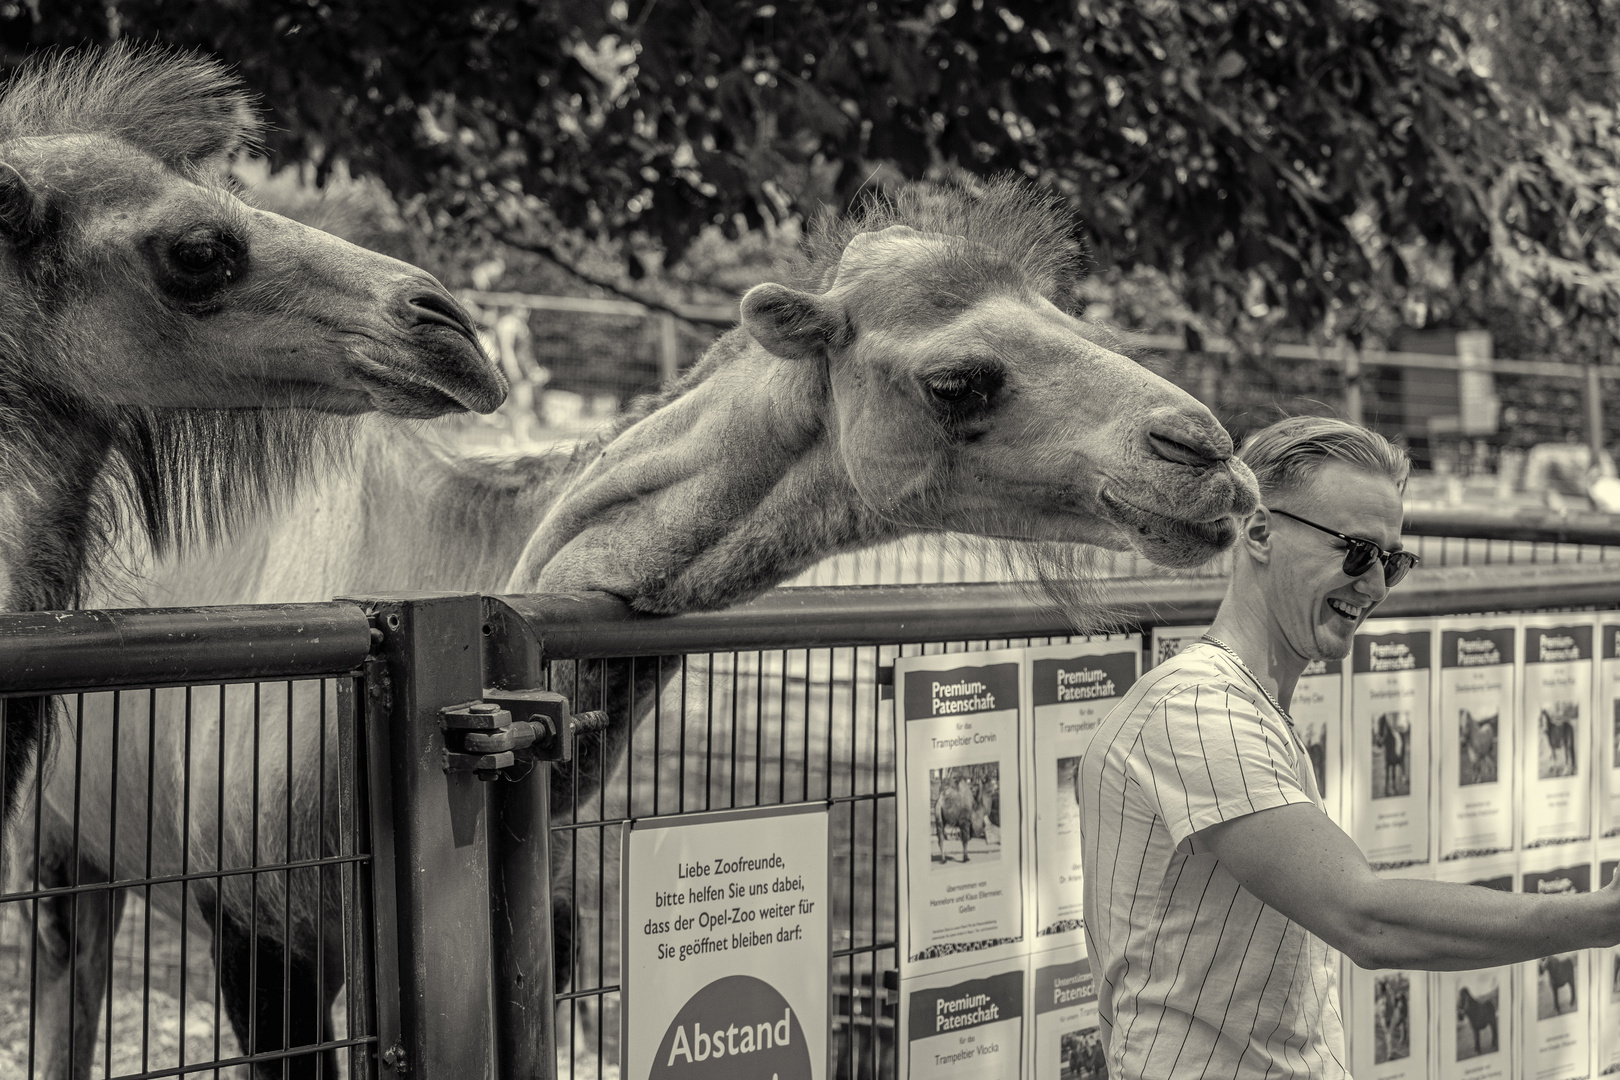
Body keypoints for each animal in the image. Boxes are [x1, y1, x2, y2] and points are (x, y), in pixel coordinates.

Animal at [34, 173, 1250, 1075]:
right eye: (958, 379)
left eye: (1071, 318)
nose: (1210, 460)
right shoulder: (253, 926)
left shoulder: (548, 940)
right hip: (68, 845)